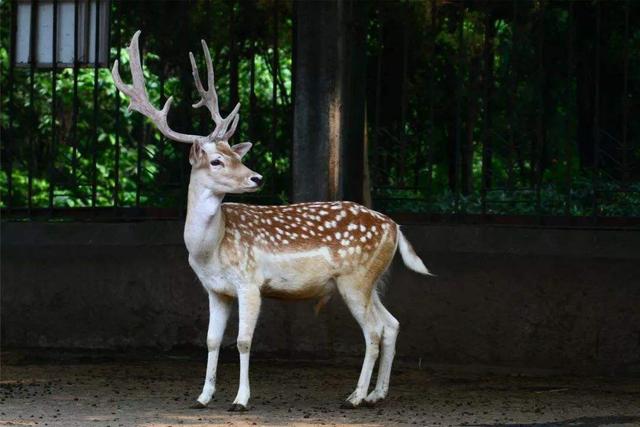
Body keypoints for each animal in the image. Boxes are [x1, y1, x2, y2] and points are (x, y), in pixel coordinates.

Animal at [112, 30, 432, 412]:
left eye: (237, 155)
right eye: (217, 160)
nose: (257, 178)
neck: (209, 249)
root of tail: (394, 227)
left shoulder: (250, 281)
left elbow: (243, 341)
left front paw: (240, 400)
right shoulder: (215, 289)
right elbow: (211, 340)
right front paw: (203, 397)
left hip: (356, 279)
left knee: (374, 330)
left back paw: (355, 397)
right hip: (372, 280)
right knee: (392, 323)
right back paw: (376, 394)